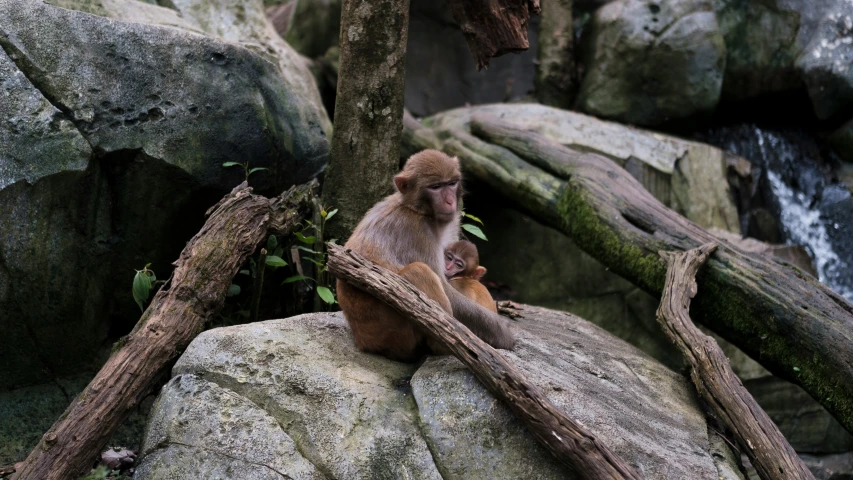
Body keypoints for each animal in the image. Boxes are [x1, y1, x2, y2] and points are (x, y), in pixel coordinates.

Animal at [338, 150, 512, 360]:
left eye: (451, 183)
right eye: (435, 187)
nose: (450, 201)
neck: (417, 209)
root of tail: (362, 340)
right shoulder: (417, 232)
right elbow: (446, 287)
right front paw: (502, 332)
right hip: (390, 331)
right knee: (418, 270)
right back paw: (444, 347)